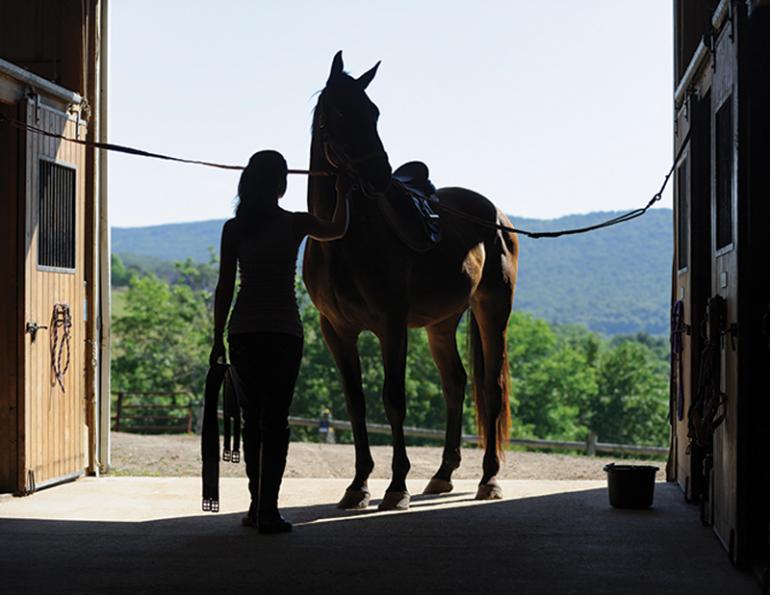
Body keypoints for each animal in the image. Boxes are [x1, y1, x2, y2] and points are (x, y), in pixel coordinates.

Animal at [303, 52, 518, 510]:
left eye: (374, 113)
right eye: (339, 113)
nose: (379, 176)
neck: (341, 237)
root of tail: (497, 217)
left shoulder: (391, 324)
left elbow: (394, 400)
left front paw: (396, 486)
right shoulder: (336, 330)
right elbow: (356, 403)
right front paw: (358, 485)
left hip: (493, 310)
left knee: (490, 389)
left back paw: (489, 479)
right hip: (441, 323)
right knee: (456, 383)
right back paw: (442, 475)